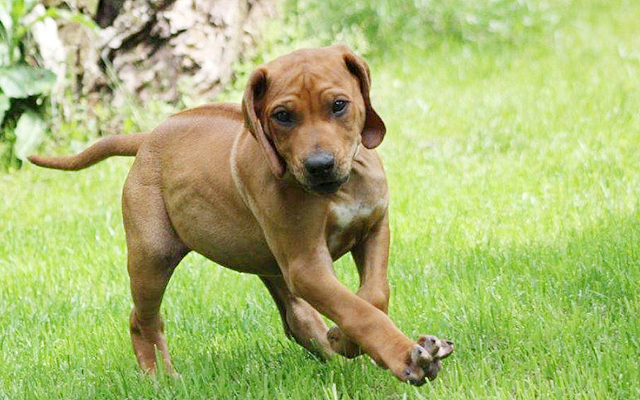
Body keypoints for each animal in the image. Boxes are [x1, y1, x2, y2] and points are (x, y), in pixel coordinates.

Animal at [28, 44, 450, 384]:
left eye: (339, 105)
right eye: (282, 116)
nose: (319, 166)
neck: (337, 189)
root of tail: (148, 137)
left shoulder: (374, 226)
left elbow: (373, 296)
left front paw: (346, 340)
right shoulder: (306, 265)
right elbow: (359, 310)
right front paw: (403, 356)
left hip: (270, 264)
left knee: (296, 319)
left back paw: (329, 345)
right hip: (153, 254)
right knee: (143, 319)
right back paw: (158, 378)